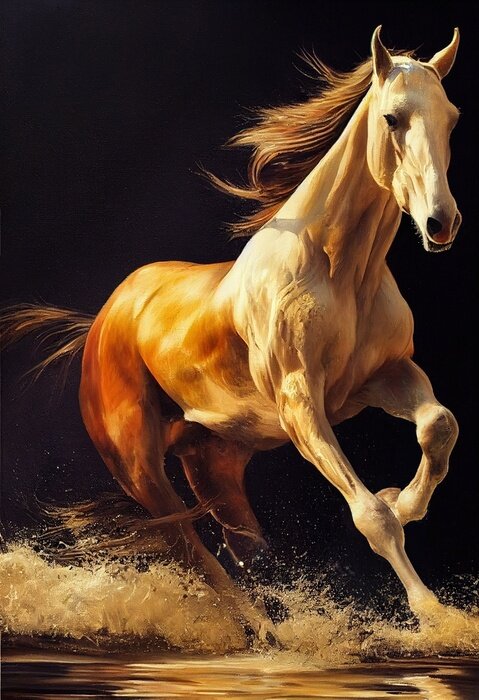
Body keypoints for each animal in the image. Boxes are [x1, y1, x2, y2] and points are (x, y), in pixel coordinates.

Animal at [2, 27, 462, 633]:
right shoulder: (300, 404)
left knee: (244, 549)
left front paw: (403, 500)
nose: (441, 222)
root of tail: (101, 323)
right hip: (143, 472)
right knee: (192, 550)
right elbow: (370, 517)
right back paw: (257, 630)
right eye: (392, 117)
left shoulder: (384, 377)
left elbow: (438, 426)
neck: (337, 269)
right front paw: (439, 615)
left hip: (215, 464)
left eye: (451, 117)